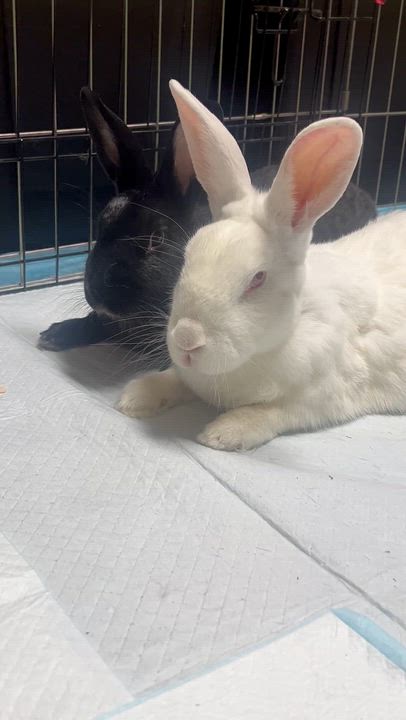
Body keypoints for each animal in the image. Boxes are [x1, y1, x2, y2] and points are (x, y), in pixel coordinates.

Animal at [117, 80, 406, 452]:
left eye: (257, 279)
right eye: (187, 256)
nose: (186, 339)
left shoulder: (317, 398)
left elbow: (271, 413)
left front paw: (223, 433)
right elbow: (173, 379)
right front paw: (136, 396)